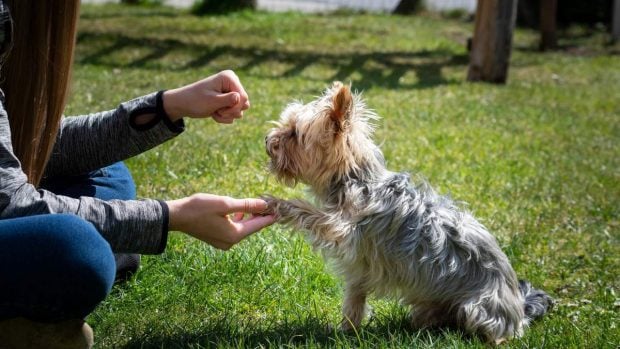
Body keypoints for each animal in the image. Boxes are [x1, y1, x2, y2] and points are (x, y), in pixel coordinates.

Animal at [264, 81, 556, 342]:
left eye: (294, 133)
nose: (268, 140)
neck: (355, 179)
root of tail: (520, 309)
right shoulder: (360, 266)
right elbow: (354, 299)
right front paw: (347, 330)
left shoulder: (343, 228)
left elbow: (310, 213)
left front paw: (277, 203)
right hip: (433, 303)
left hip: (479, 308)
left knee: (494, 333)